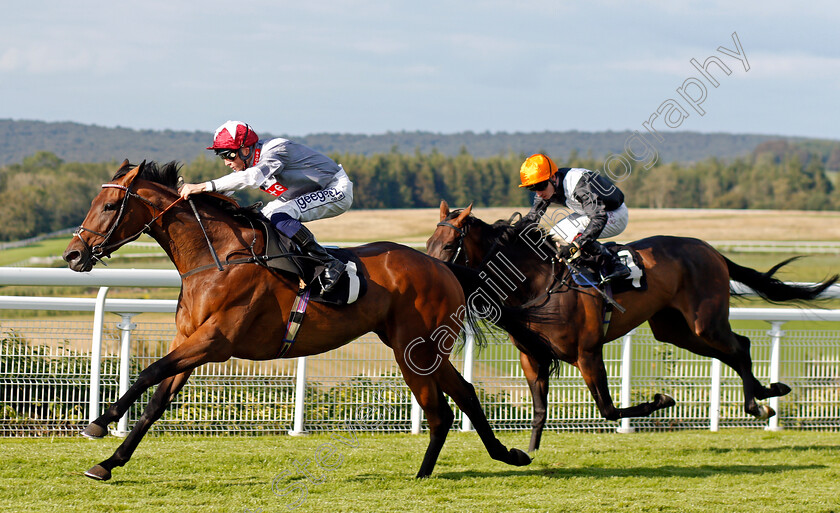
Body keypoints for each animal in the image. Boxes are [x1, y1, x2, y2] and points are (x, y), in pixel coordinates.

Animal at [62, 163, 532, 480]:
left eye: (109, 205)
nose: (73, 255)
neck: (217, 258)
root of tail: (443, 267)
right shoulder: (191, 341)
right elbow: (157, 400)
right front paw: (109, 463)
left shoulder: (215, 341)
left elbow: (150, 372)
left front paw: (98, 424)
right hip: (422, 346)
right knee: (464, 394)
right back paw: (507, 455)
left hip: (412, 348)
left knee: (440, 409)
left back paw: (427, 472)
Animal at [430, 201, 836, 452]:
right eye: (430, 241)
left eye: (449, 244)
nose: (432, 271)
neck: (538, 282)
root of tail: (711, 250)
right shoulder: (532, 357)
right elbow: (540, 410)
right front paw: (529, 453)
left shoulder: (588, 353)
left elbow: (609, 410)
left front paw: (662, 399)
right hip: (676, 330)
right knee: (736, 349)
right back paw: (763, 398)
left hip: (704, 322)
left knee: (740, 346)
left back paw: (760, 402)